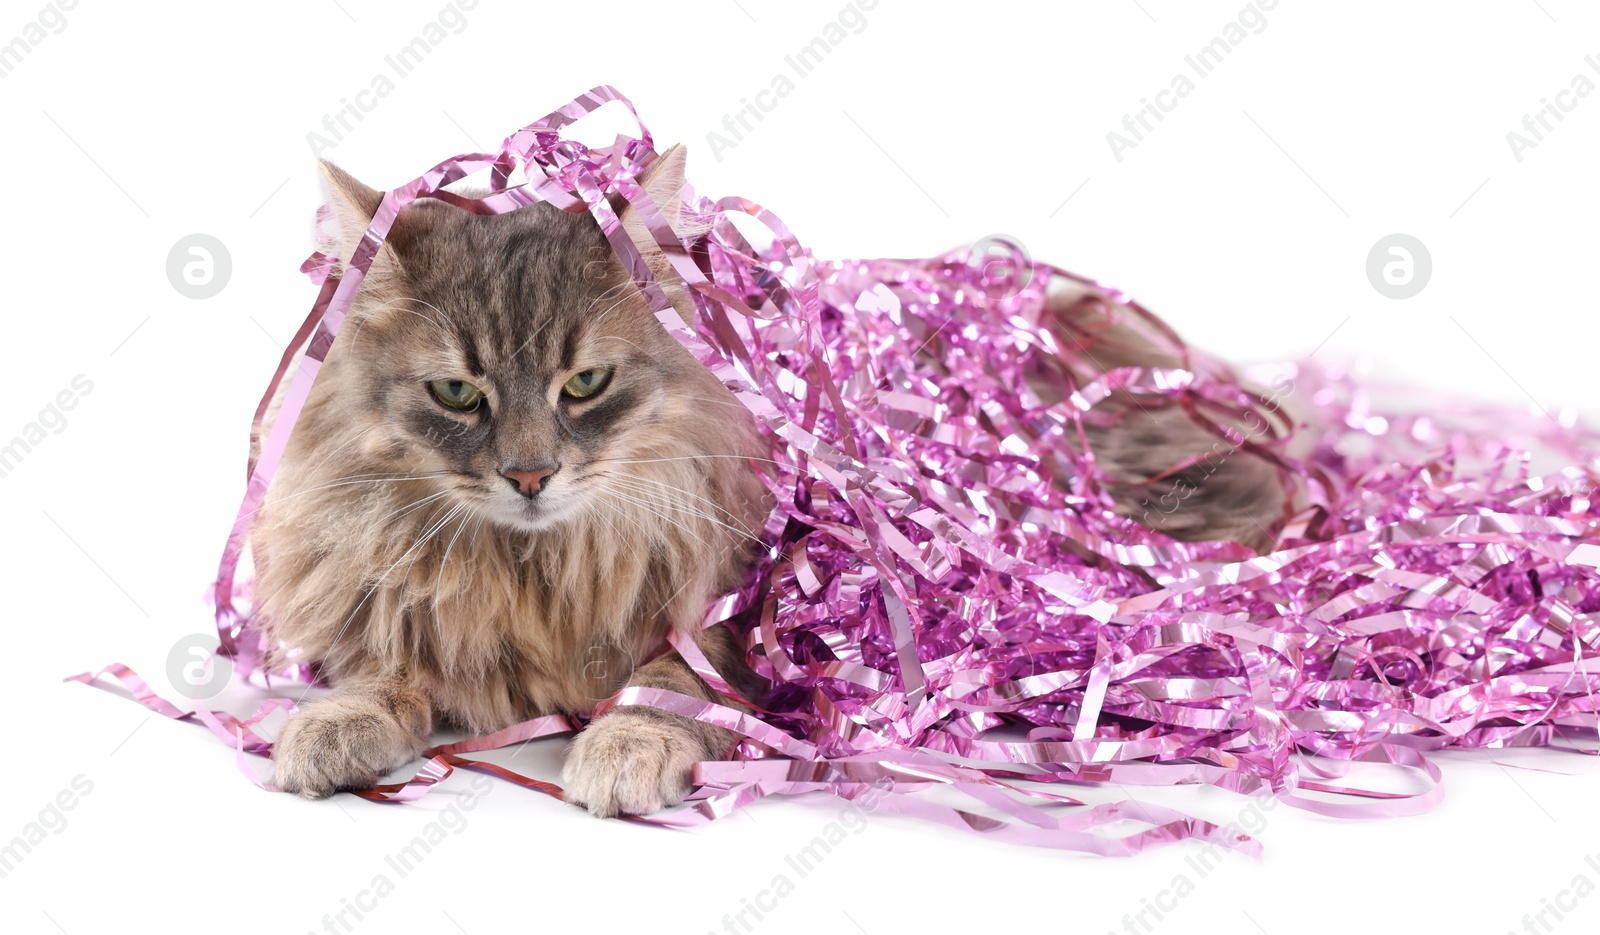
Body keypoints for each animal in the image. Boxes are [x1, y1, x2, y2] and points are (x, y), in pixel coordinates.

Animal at [256, 144, 1280, 819]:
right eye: (458, 394)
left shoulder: (743, 615)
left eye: (584, 384)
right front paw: (331, 727)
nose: (531, 473)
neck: (542, 567)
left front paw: (622, 750)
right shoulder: (393, 601)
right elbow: (385, 669)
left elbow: (665, 687)